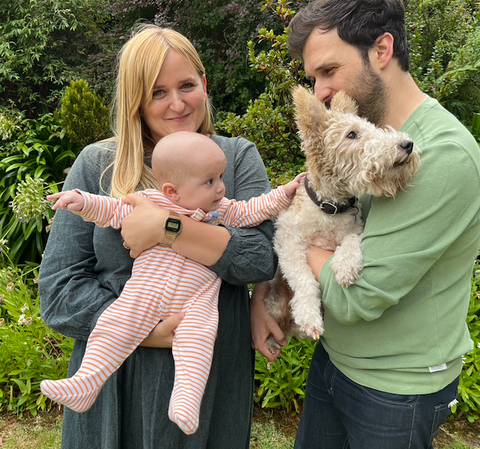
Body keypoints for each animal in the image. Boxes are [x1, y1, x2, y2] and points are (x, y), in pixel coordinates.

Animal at [266, 86, 420, 354]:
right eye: (351, 134)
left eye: (372, 127)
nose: (407, 144)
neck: (330, 208)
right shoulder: (287, 243)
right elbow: (304, 278)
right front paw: (309, 316)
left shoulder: (355, 228)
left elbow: (350, 242)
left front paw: (346, 266)